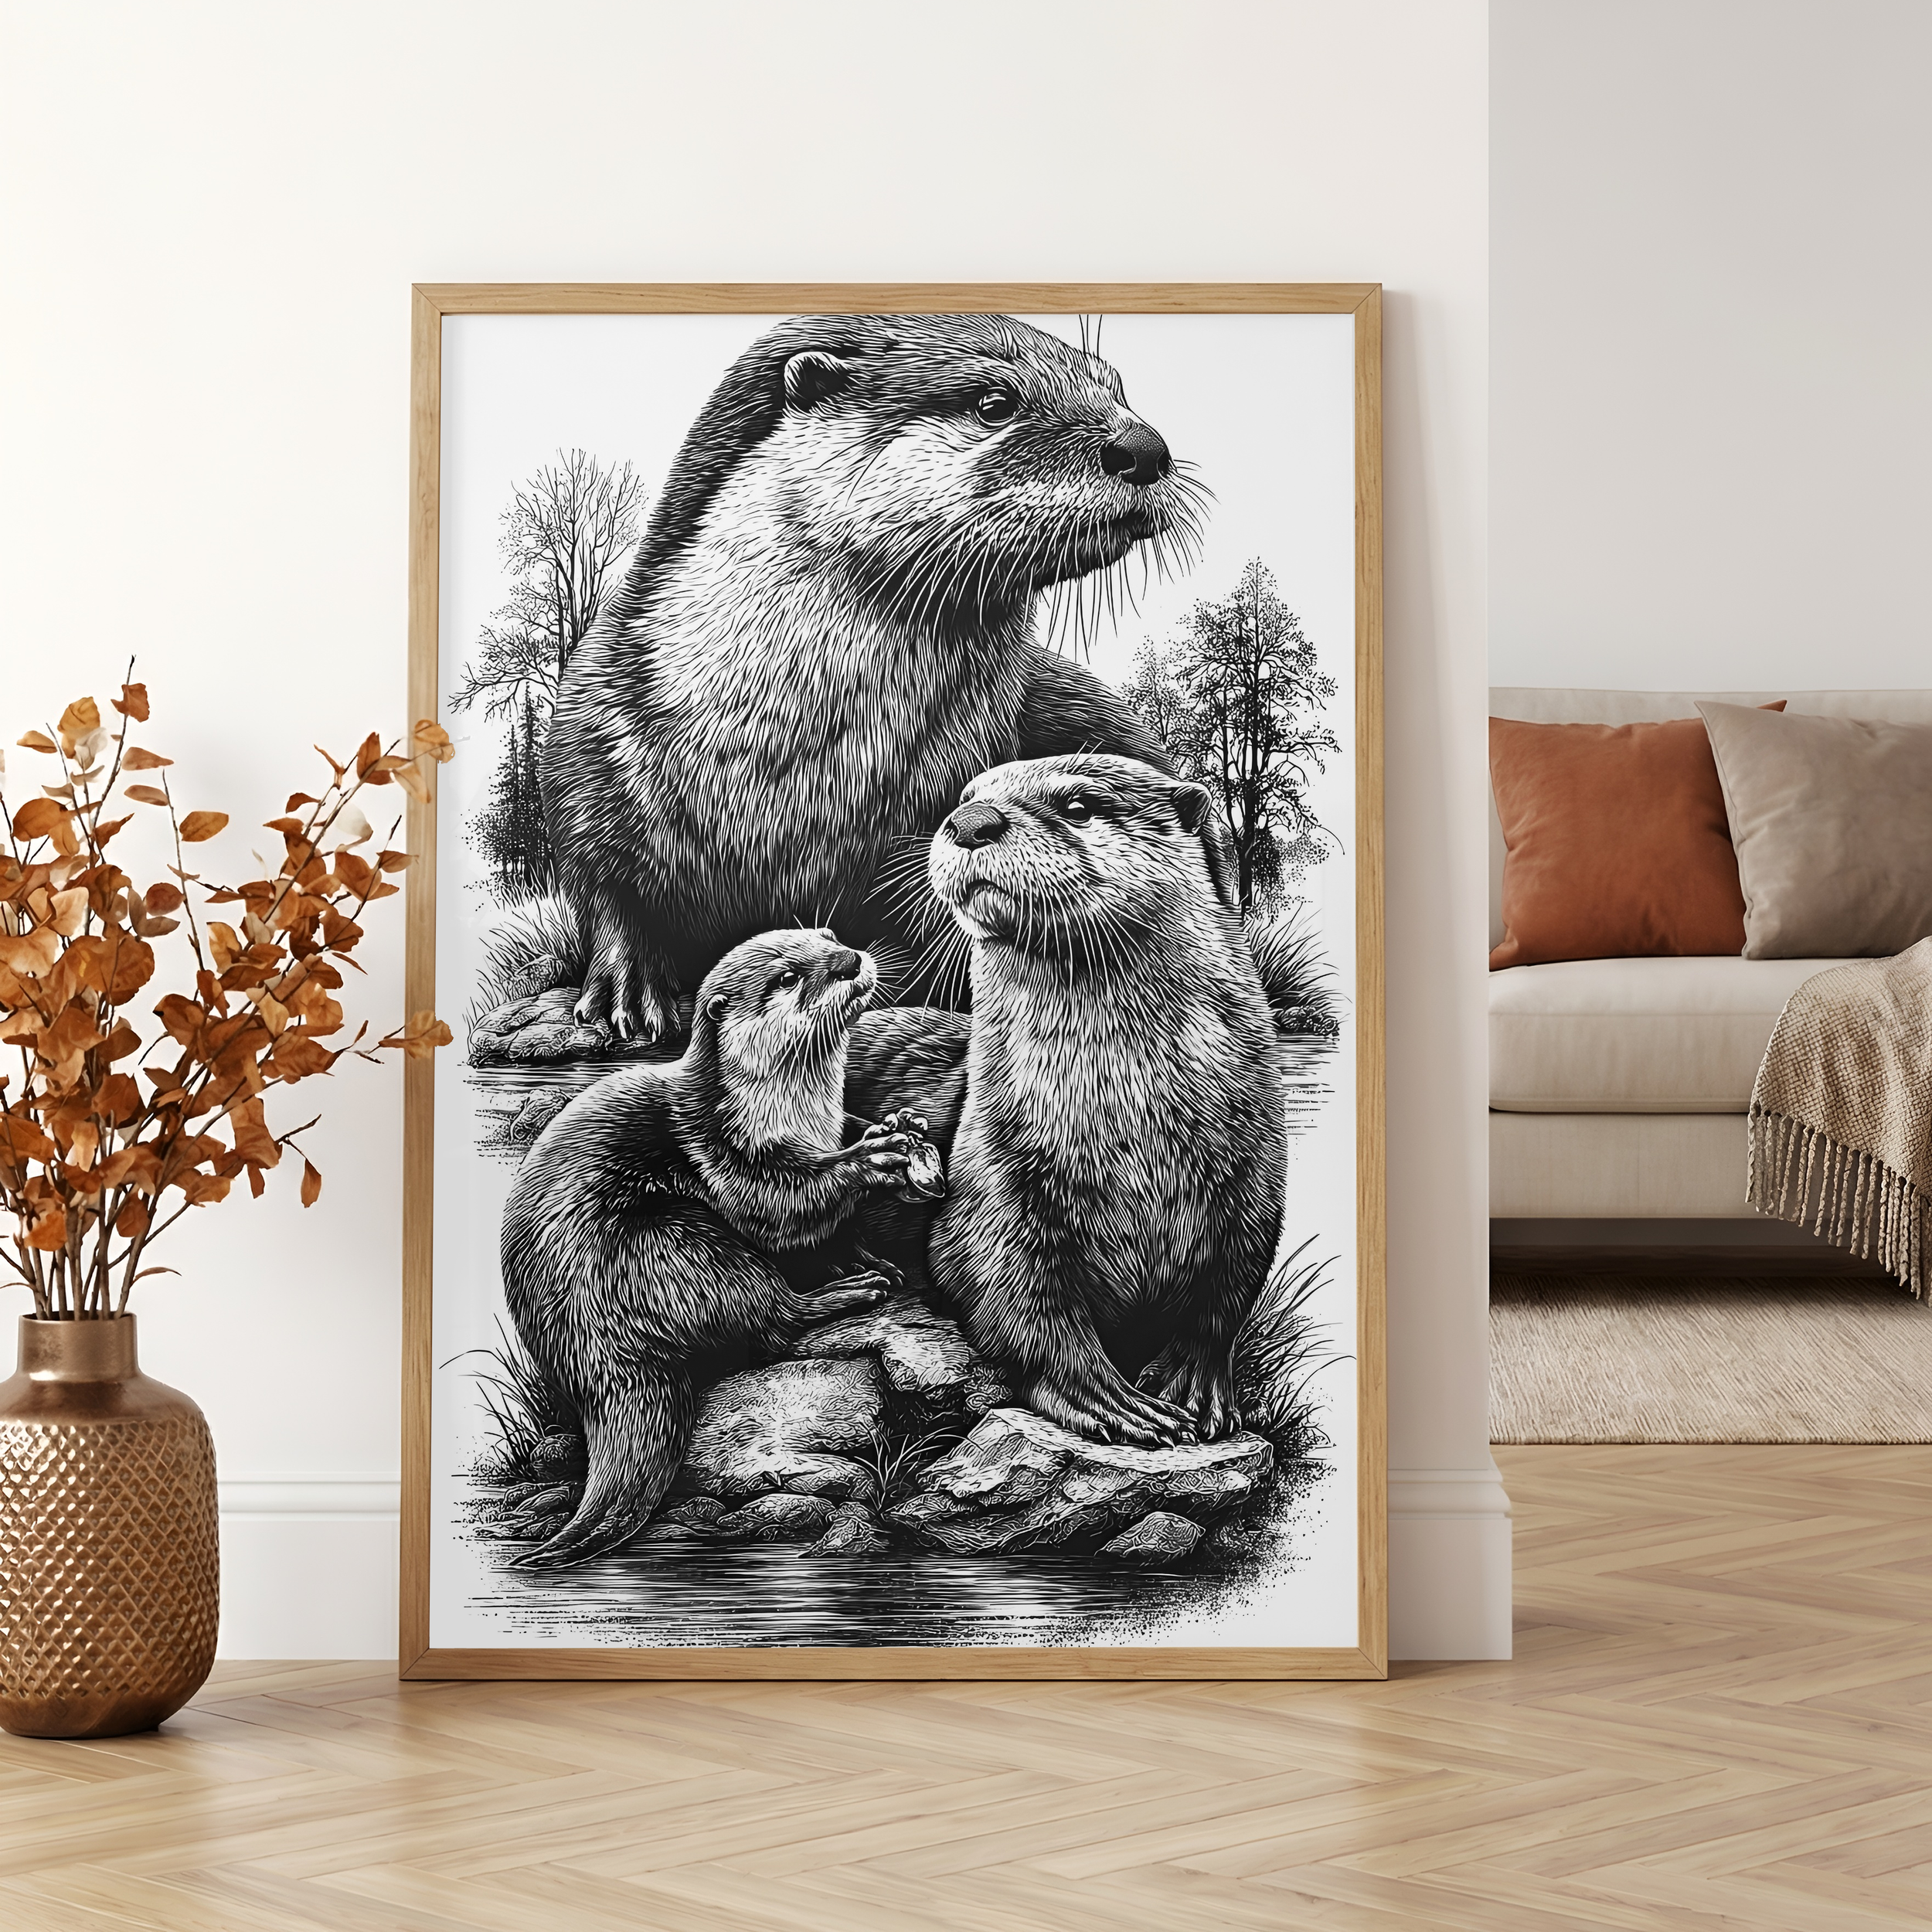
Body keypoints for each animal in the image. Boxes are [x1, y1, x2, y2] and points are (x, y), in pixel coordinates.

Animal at [500, 928, 927, 1568]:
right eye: (786, 978)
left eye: (828, 937)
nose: (850, 960)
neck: (798, 1117)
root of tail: (595, 1368)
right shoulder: (718, 1149)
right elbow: (782, 1206)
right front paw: (869, 1160)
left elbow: (831, 1229)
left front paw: (895, 1131)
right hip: (676, 1247)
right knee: (771, 1319)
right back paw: (848, 1292)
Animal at [543, 313, 1196, 1043]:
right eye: (994, 403)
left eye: (1116, 388)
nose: (1144, 446)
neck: (790, 770)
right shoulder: (590, 730)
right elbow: (604, 884)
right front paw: (625, 990)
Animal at [913, 754, 1287, 1448]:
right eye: (966, 795)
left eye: (1080, 806)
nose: (971, 821)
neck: (1128, 1124)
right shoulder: (992, 1177)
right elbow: (1021, 1298)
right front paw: (1110, 1402)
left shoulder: (1258, 1168)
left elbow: (1226, 1291)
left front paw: (1194, 1388)